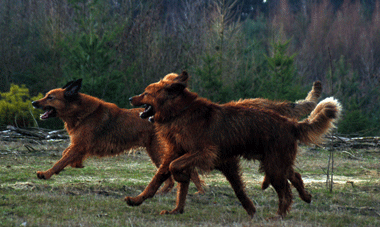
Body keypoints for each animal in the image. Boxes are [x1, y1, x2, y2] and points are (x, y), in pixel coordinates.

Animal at [127, 72, 342, 219]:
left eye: (145, 93)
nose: (130, 98)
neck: (179, 113)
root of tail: (290, 123)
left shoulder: (205, 152)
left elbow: (175, 169)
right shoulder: (183, 154)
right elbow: (158, 181)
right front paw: (147, 202)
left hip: (274, 166)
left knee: (286, 194)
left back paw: (278, 216)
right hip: (276, 163)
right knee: (294, 176)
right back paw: (305, 197)